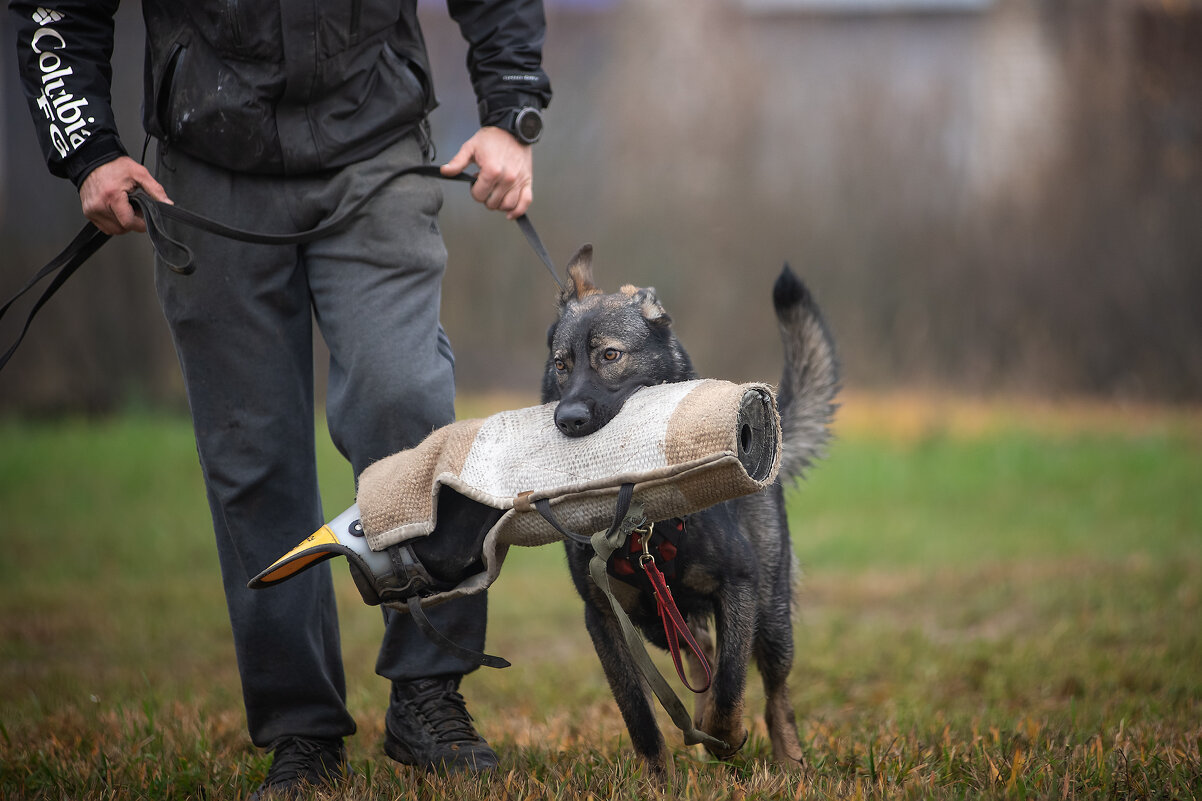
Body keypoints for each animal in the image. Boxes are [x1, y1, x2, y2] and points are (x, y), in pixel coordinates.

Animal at [540, 245, 841, 774]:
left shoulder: (739, 586)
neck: (642, 523)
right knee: (701, 646)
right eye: (561, 364)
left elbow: (731, 682)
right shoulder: (605, 619)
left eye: (610, 356)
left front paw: (728, 734)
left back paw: (789, 762)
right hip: (654, 617)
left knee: (771, 689)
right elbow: (639, 714)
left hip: (771, 614)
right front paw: (658, 781)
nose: (568, 419)